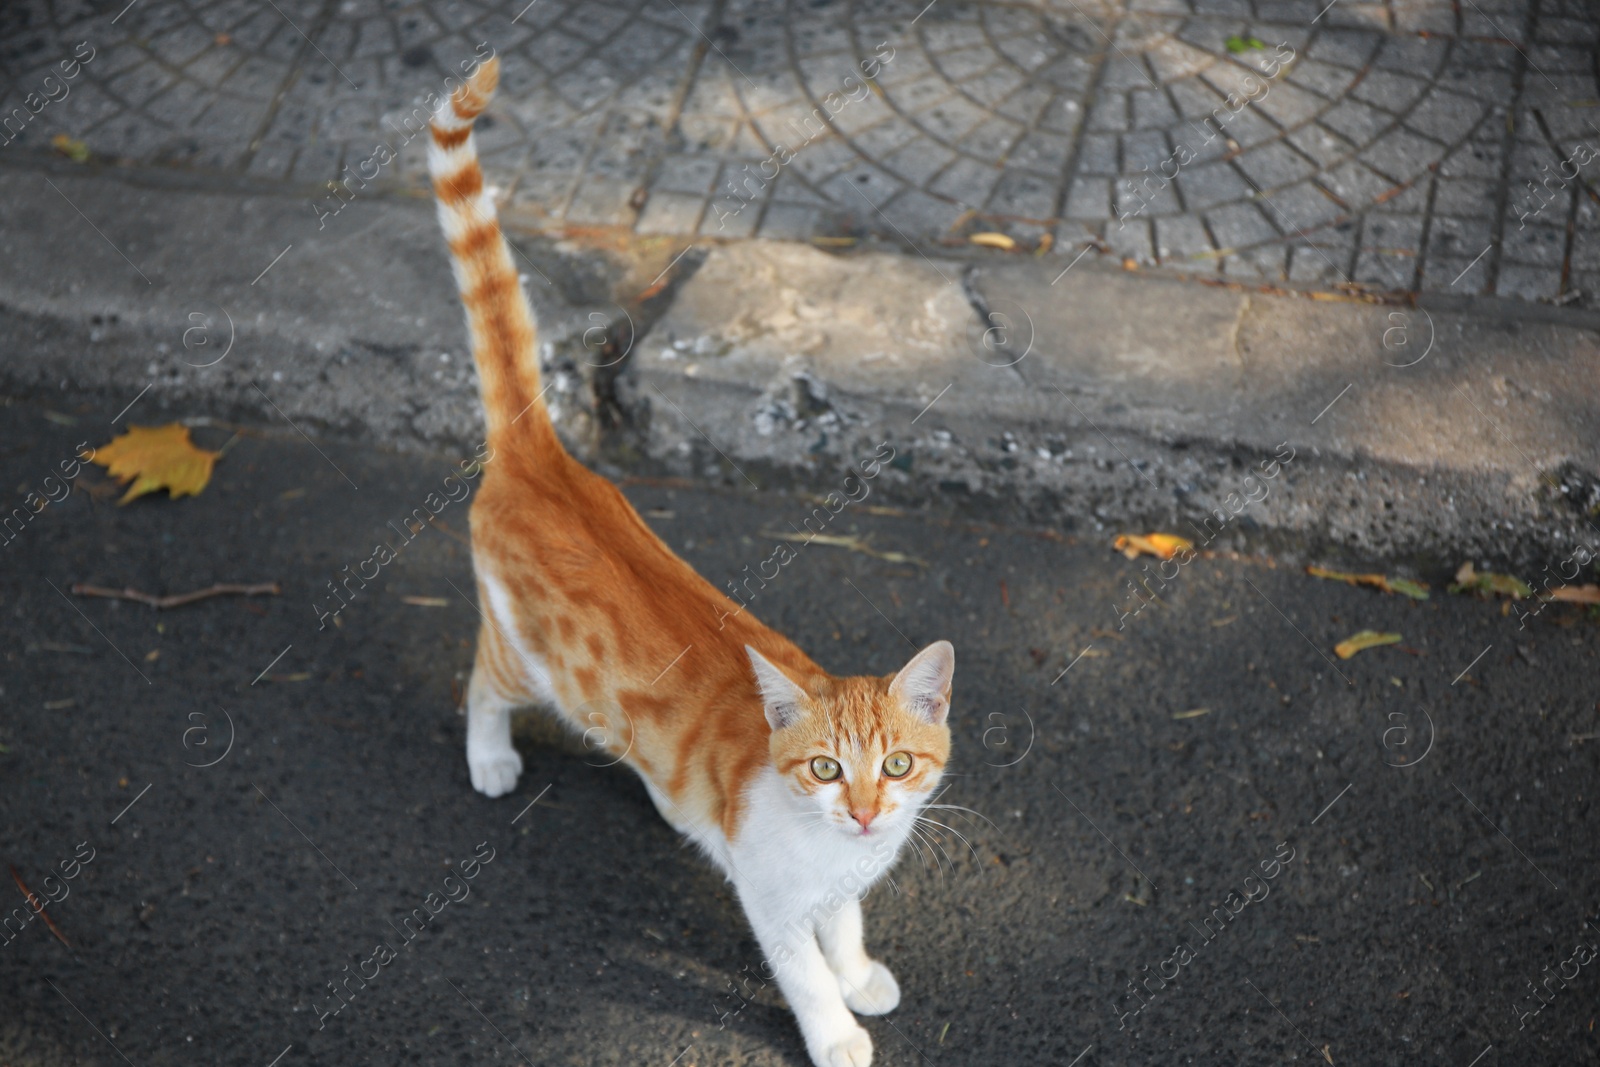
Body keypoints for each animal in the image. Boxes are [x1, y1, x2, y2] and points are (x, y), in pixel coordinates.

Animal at [425, 60, 953, 1067]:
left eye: (898, 765)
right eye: (826, 769)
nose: (868, 812)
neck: (839, 846)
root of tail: (543, 456)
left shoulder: (838, 883)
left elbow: (845, 925)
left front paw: (861, 970)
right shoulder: (771, 900)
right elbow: (804, 969)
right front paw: (837, 1029)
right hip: (526, 657)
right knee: (476, 679)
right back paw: (490, 755)